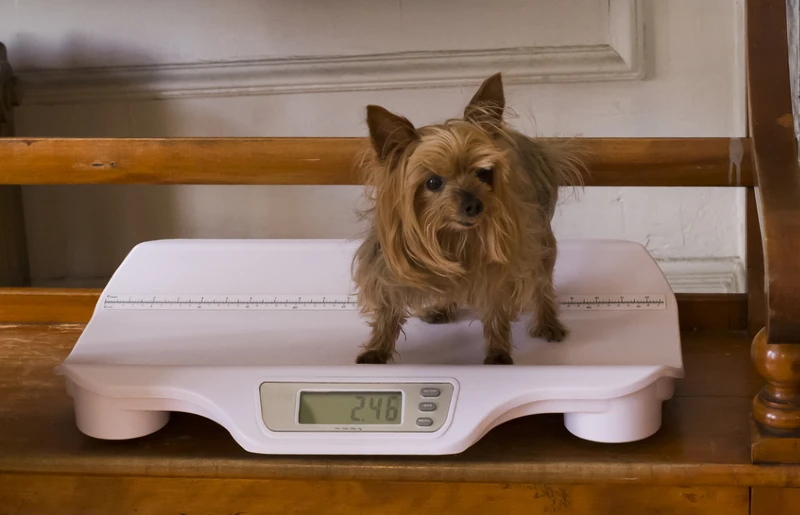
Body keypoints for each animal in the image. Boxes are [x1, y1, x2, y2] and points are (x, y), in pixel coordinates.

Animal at [350, 72, 580, 364]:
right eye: (433, 182)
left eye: (483, 173)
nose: (474, 205)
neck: (450, 235)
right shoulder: (388, 268)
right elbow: (387, 309)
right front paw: (377, 349)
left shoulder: (500, 269)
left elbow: (496, 310)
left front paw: (498, 352)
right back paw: (443, 307)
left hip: (539, 238)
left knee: (542, 282)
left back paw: (548, 322)